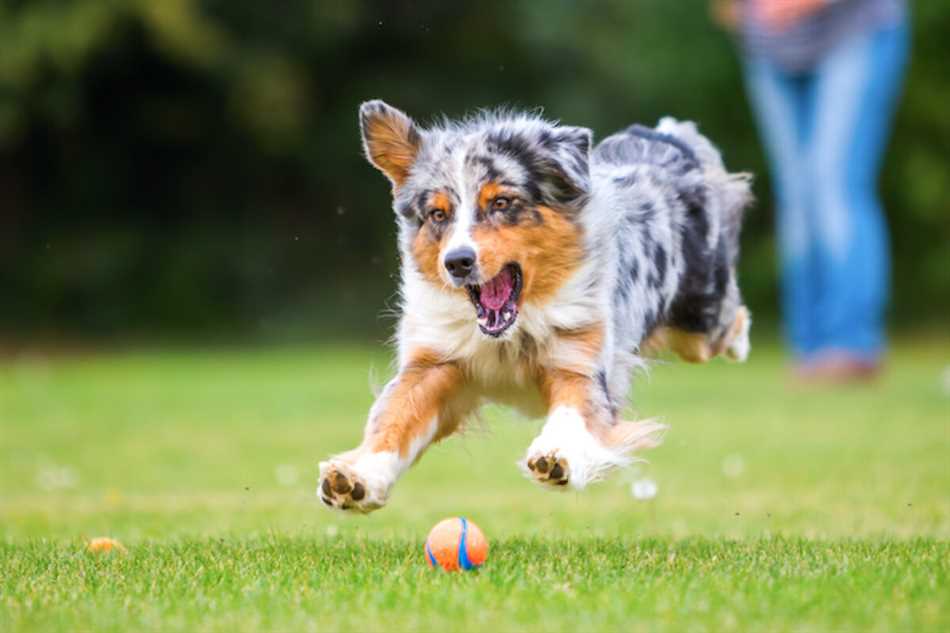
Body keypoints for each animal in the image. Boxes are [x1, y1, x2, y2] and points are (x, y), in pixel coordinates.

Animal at [318, 100, 752, 512]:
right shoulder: (433, 363)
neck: (512, 333)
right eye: (438, 213)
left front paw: (557, 455)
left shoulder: (579, 359)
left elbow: (574, 411)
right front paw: (356, 477)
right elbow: (393, 416)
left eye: (501, 202)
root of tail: (667, 138)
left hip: (701, 318)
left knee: (730, 319)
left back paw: (741, 342)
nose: (456, 262)